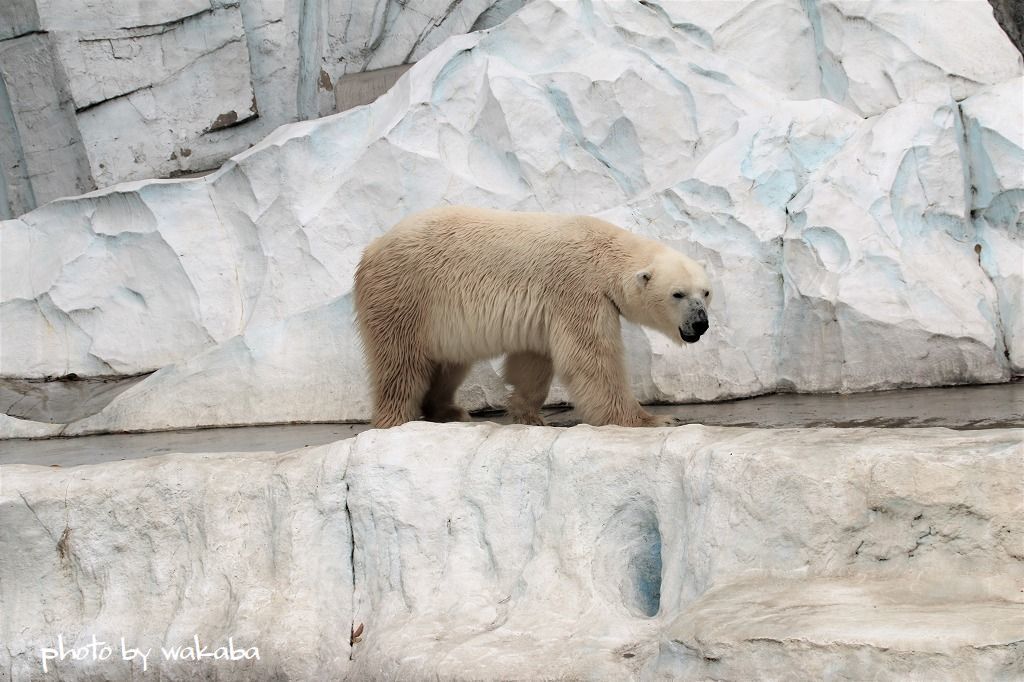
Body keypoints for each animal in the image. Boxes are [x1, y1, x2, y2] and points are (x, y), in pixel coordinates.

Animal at [356, 202, 716, 425]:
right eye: (677, 294)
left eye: (706, 292)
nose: (700, 324)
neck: (601, 253)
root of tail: (371, 248)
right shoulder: (578, 289)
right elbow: (592, 359)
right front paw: (652, 419)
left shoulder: (546, 306)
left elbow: (533, 360)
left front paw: (527, 414)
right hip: (407, 295)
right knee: (400, 362)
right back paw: (396, 417)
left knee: (449, 363)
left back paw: (449, 411)